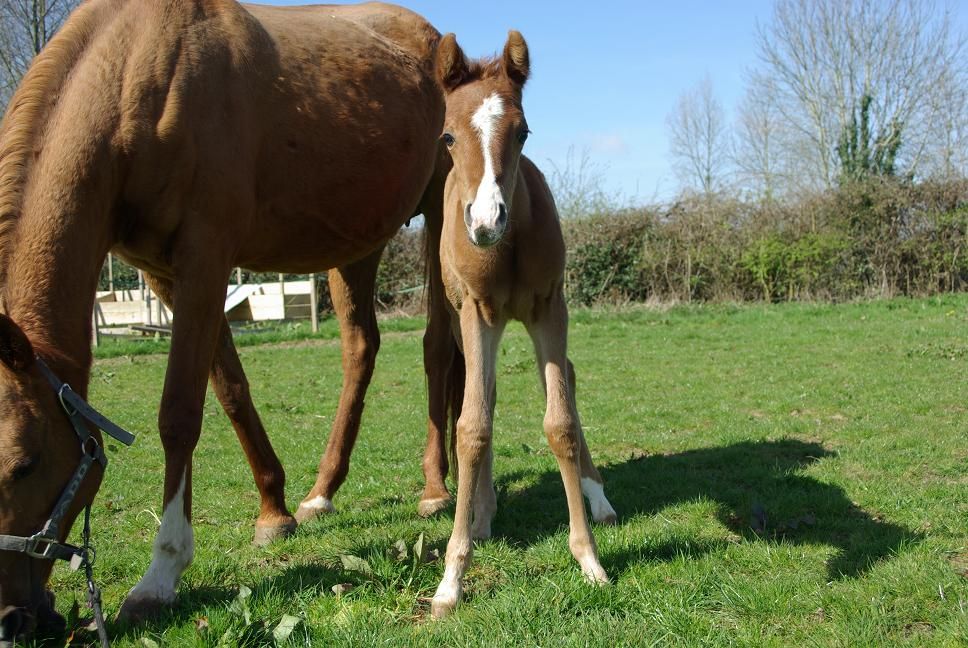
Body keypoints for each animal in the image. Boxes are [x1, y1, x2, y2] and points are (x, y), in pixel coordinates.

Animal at [0, 0, 447, 641]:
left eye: (24, 464)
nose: (12, 621)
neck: (140, 73)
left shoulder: (205, 261)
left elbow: (180, 416)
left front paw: (159, 576)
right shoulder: (164, 274)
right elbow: (232, 392)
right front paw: (275, 512)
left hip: (443, 212)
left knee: (439, 346)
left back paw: (437, 488)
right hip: (358, 243)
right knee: (360, 348)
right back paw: (321, 494)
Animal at [426, 31, 617, 618]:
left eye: (523, 131)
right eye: (446, 136)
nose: (487, 220)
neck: (504, 250)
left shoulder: (549, 308)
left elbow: (560, 422)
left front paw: (589, 559)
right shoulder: (475, 313)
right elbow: (471, 427)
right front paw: (450, 580)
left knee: (565, 380)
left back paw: (598, 496)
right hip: (467, 322)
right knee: (479, 396)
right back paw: (483, 514)